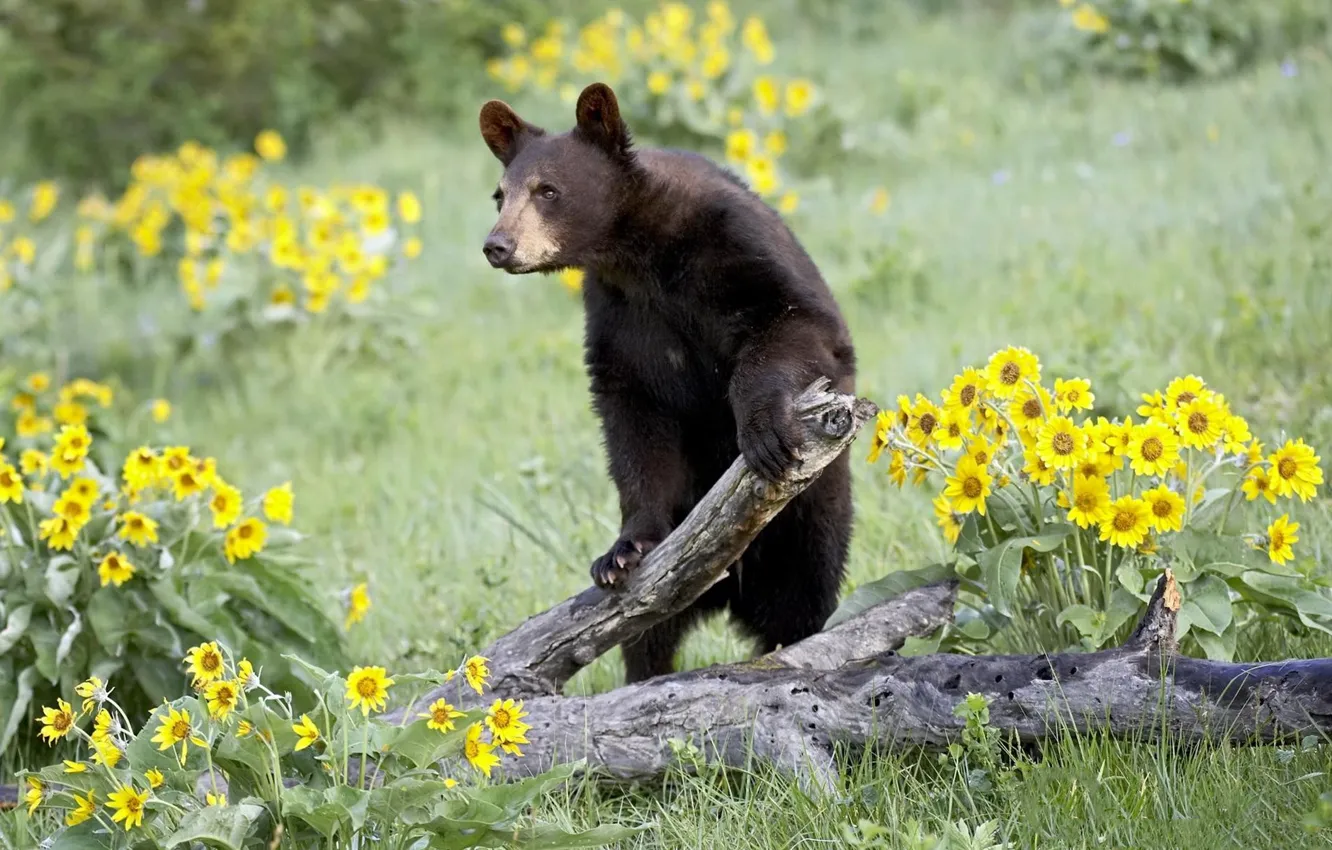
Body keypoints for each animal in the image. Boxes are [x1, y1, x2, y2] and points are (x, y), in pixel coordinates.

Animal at [478, 82, 857, 683]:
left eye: (548, 190)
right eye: (500, 194)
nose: (498, 245)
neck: (641, 254)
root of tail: (731, 593)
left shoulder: (738, 246)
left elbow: (799, 324)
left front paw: (763, 434)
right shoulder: (620, 314)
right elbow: (634, 419)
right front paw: (622, 550)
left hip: (809, 521)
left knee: (803, 598)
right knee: (647, 634)